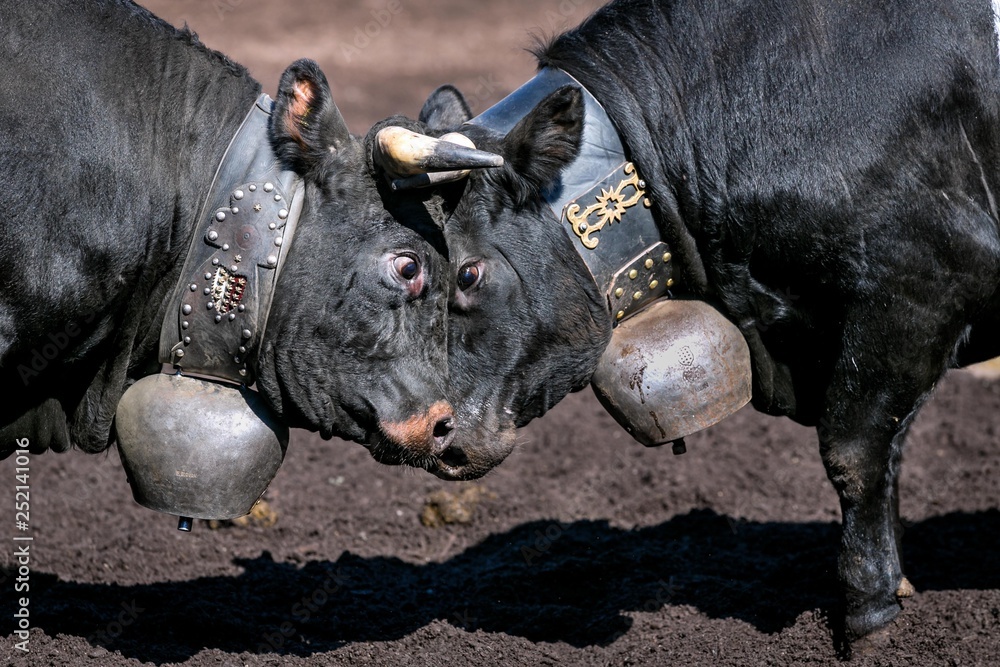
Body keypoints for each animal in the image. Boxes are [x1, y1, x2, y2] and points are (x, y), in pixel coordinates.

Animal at [369, 0, 1000, 647]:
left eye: (468, 273)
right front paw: (894, 589)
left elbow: (853, 453)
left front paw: (867, 614)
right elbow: (887, 455)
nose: (429, 434)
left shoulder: (922, 283)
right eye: (411, 269)